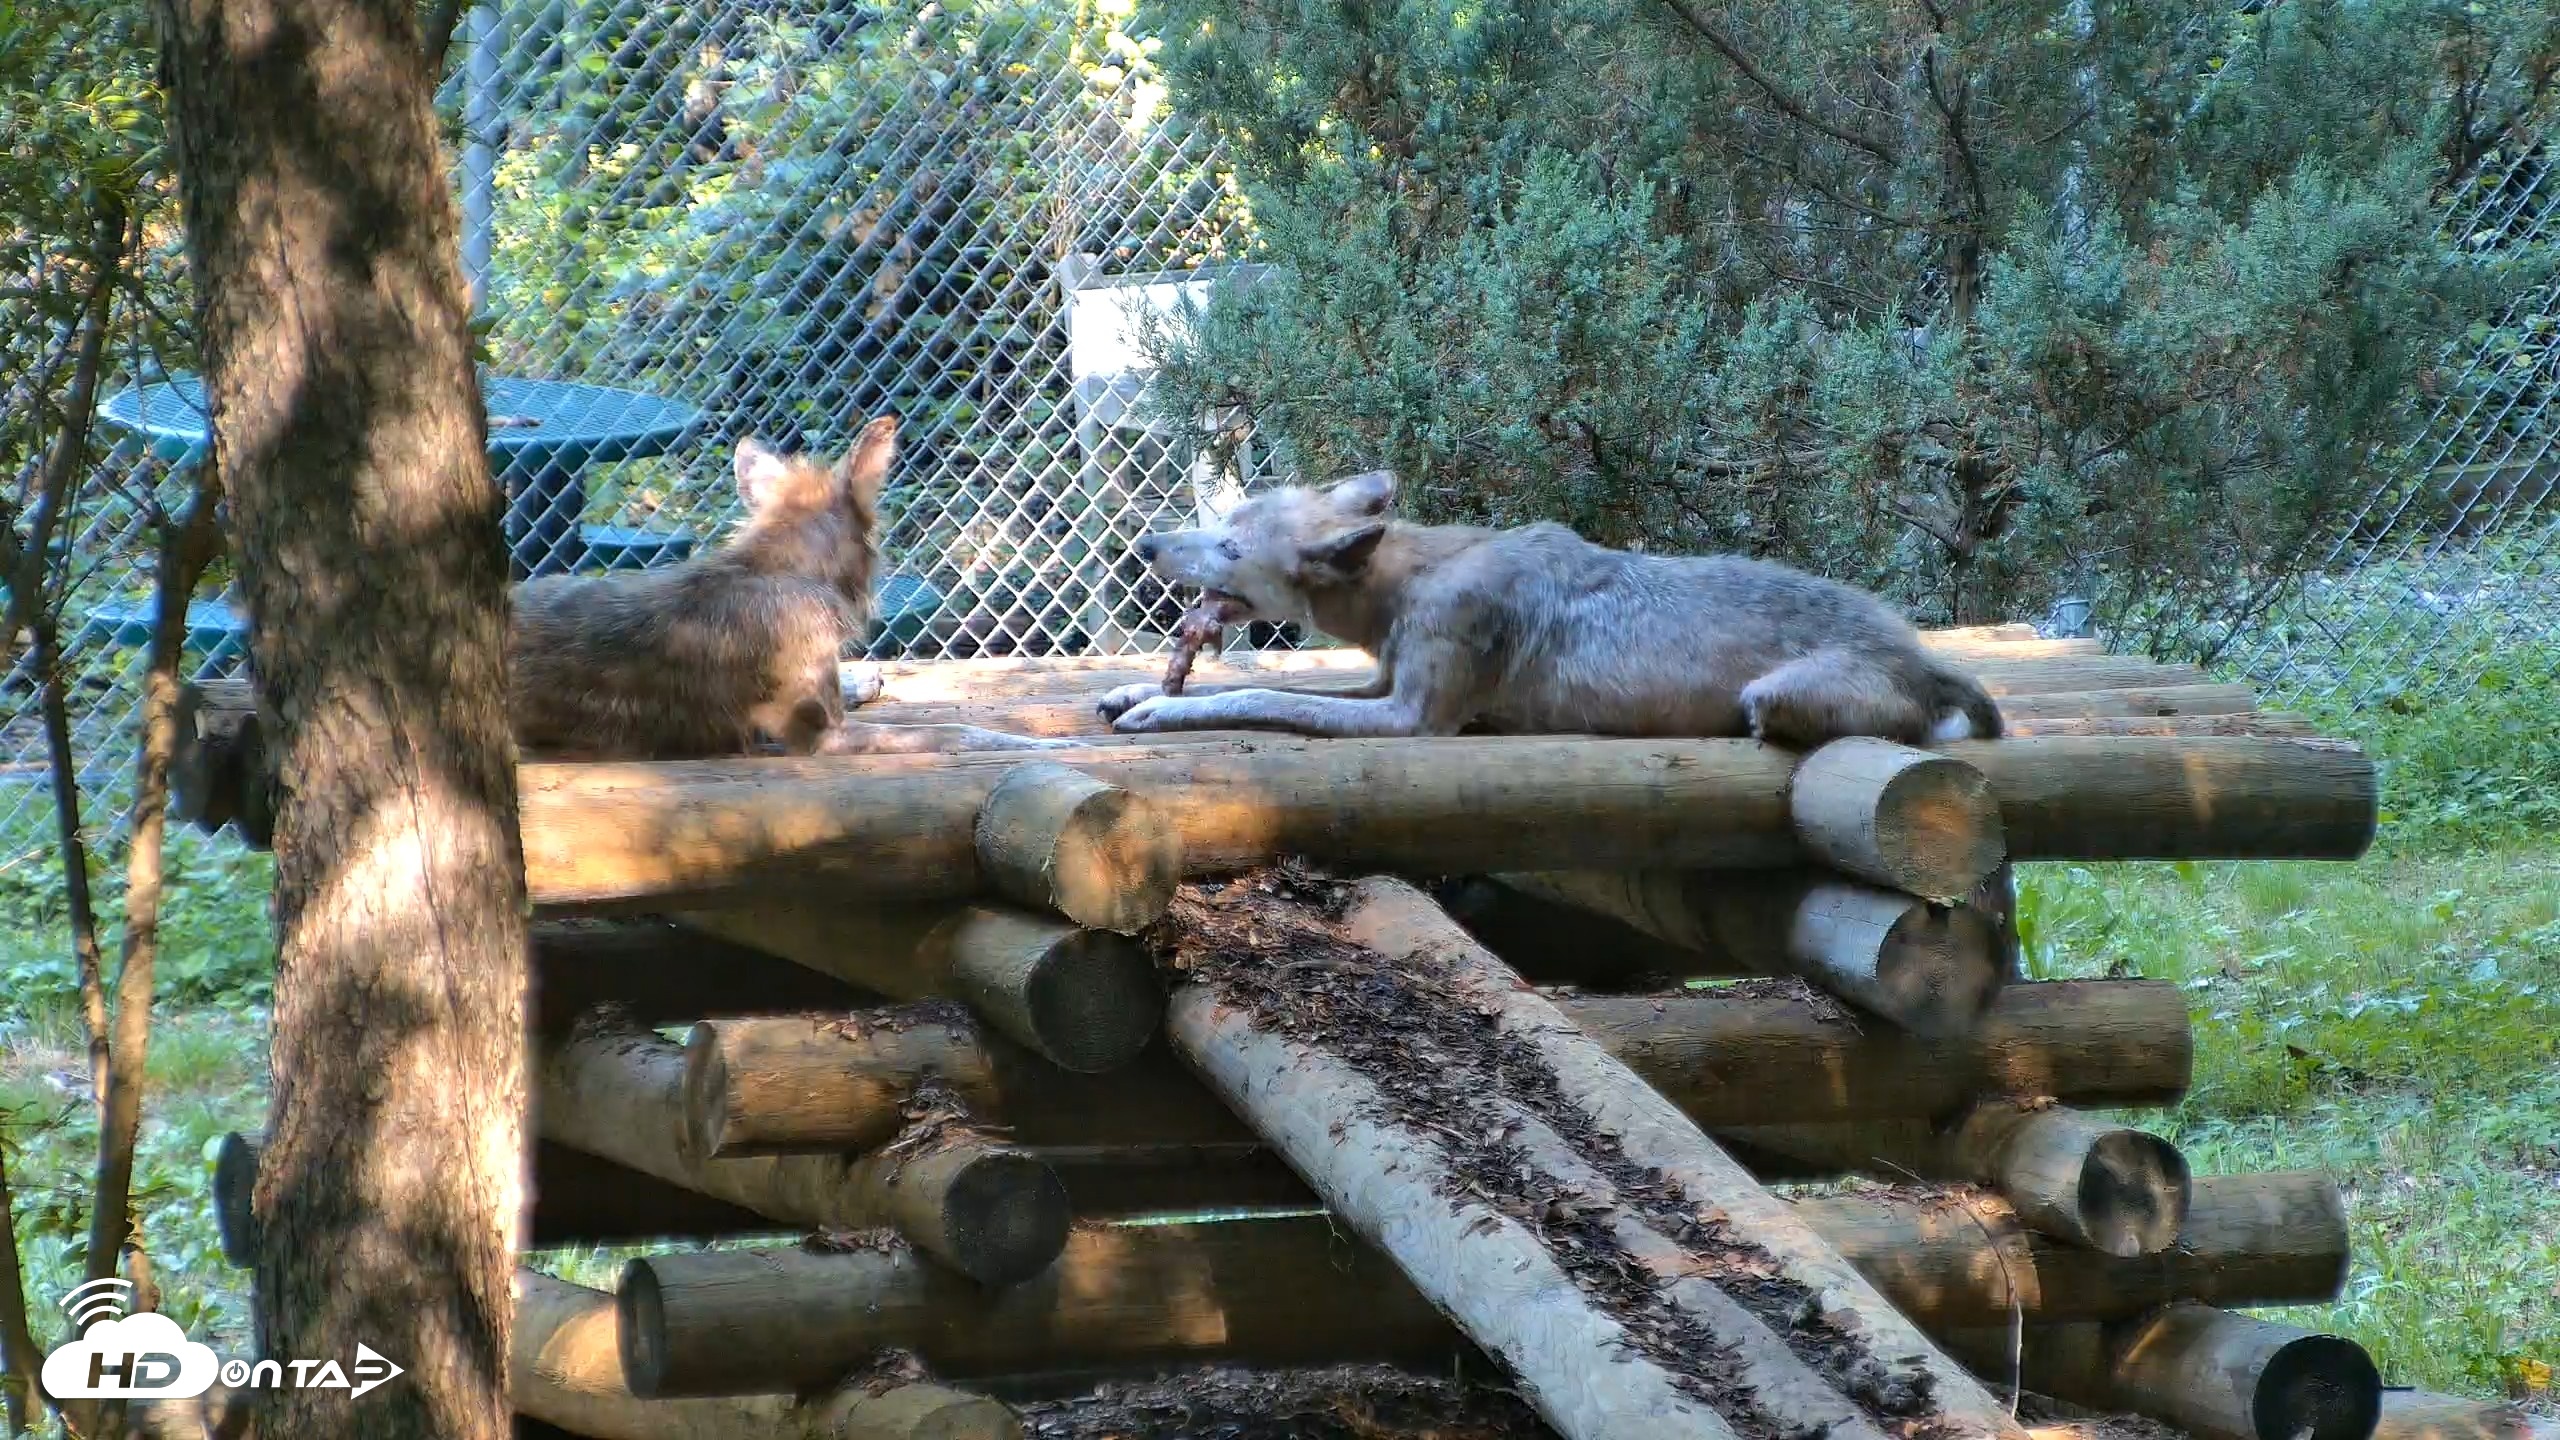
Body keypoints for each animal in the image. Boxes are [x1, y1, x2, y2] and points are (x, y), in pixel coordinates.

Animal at [1094, 469, 2002, 747]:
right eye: (1219, 521)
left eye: (1229, 548)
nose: (1141, 544)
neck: (1412, 580)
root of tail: (1927, 663)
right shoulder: (1384, 686)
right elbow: (1249, 686)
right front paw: (1135, 690)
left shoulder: (1411, 718)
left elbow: (1255, 692)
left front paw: (1157, 711)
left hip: (1771, 697)